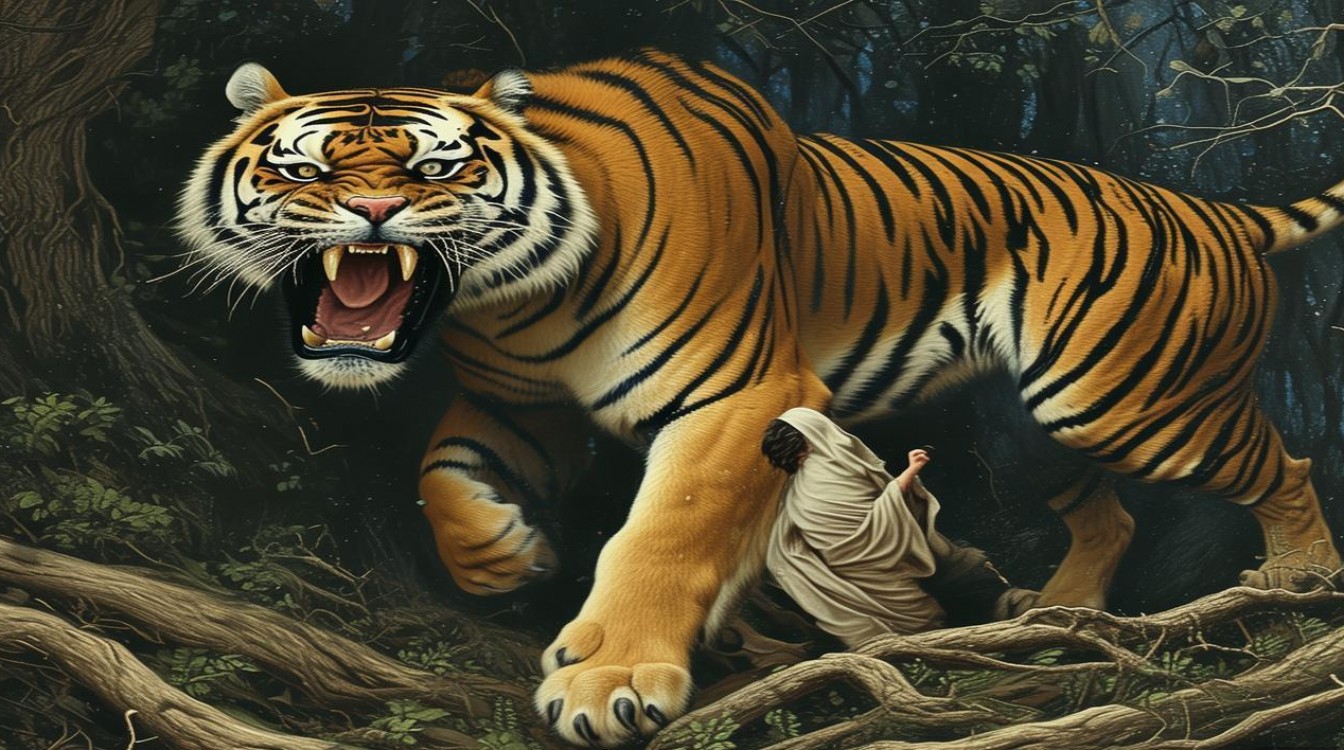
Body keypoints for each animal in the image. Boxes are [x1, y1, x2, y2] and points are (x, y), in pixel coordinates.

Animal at [179, 49, 1343, 747]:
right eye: (299, 169)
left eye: (434, 170)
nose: (369, 214)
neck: (516, 299)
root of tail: (1216, 212)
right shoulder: (522, 405)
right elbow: (441, 479)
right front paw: (508, 556)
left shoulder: (739, 397)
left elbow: (664, 534)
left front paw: (610, 681)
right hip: (1037, 431)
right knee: (1109, 514)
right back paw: (1060, 611)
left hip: (1124, 401)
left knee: (1284, 464)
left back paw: (1301, 580)